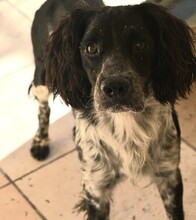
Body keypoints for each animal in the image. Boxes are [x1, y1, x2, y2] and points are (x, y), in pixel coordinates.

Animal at [29, 0, 196, 220]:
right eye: (91, 48)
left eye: (141, 44)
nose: (115, 87)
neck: (126, 124)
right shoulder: (96, 190)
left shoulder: (169, 176)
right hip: (42, 75)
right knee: (43, 107)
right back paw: (40, 141)